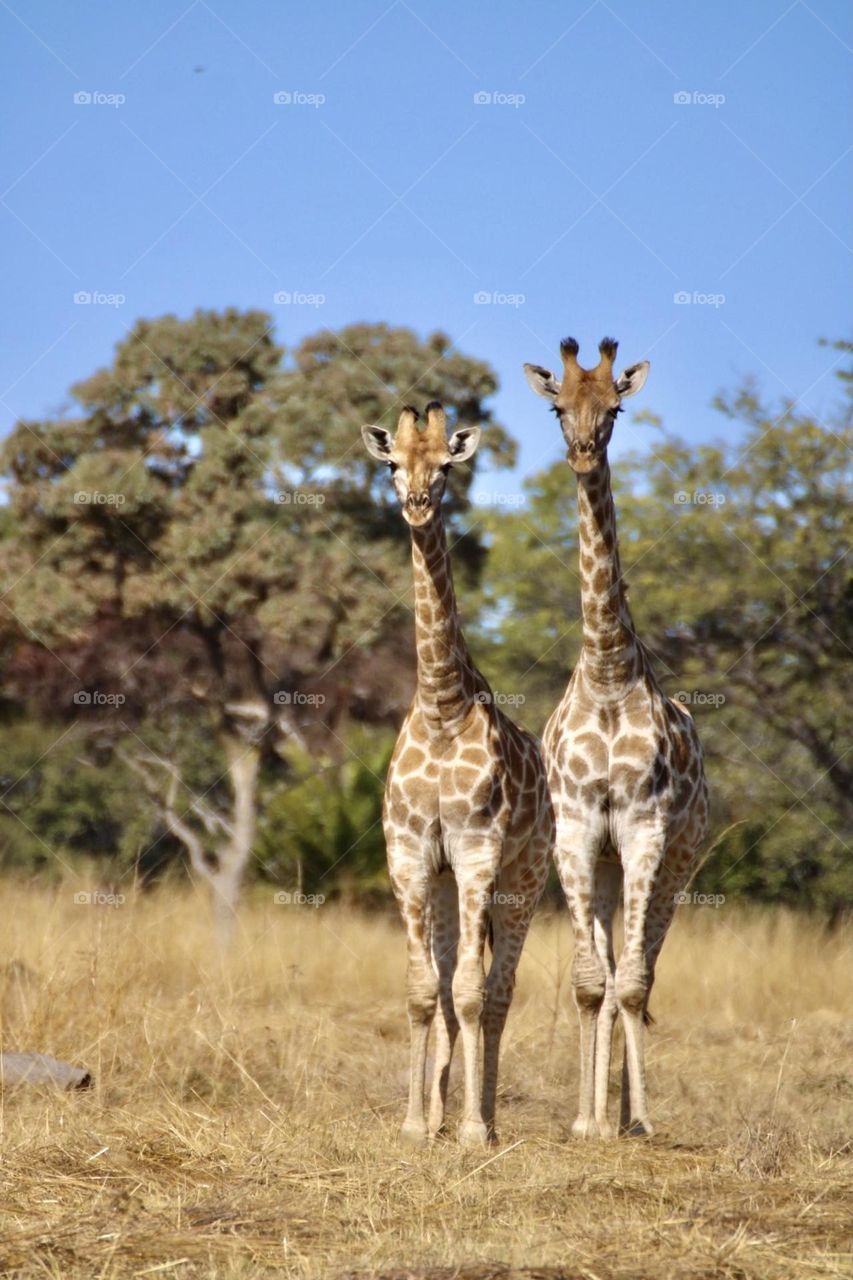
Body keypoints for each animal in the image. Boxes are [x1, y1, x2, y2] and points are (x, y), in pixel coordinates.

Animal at [358, 401, 550, 1152]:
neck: (441, 705)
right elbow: (422, 990)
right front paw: (416, 1123)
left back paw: (484, 1117)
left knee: (496, 992)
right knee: (446, 987)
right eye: (390, 463)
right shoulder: (411, 854)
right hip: (442, 884)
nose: (415, 504)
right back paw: (443, 1110)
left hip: (525, 880)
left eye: (445, 466)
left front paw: (471, 1130)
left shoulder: (476, 852)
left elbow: (470, 990)